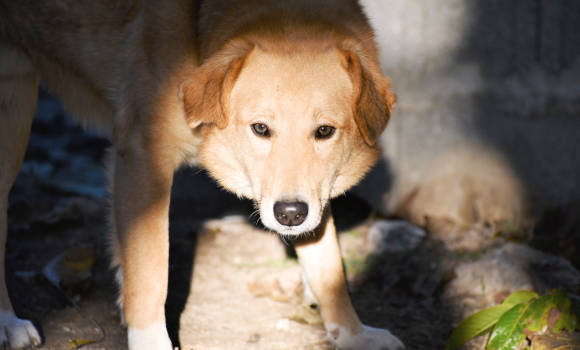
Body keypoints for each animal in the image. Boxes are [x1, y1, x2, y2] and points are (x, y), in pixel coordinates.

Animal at [0, 0, 404, 348]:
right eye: (260, 128)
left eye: (324, 131)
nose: (289, 215)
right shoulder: (142, 159)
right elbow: (150, 274)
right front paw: (150, 342)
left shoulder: (313, 196)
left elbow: (328, 265)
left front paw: (352, 334)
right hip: (14, 125)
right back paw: (8, 323)